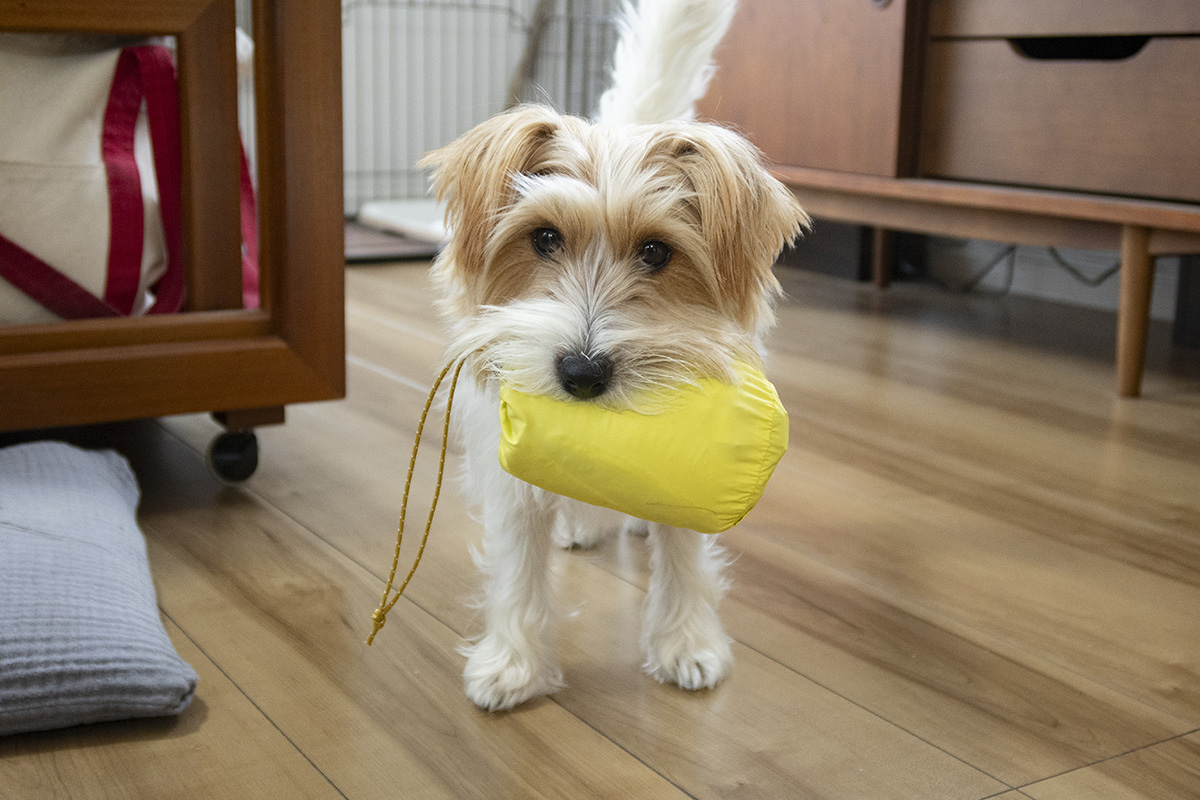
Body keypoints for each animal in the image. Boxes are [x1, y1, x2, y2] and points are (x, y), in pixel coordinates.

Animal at [420, 0, 806, 714]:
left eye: (656, 251)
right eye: (544, 238)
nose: (582, 372)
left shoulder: (699, 474)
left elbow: (684, 556)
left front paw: (686, 643)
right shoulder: (508, 478)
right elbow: (518, 571)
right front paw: (512, 664)